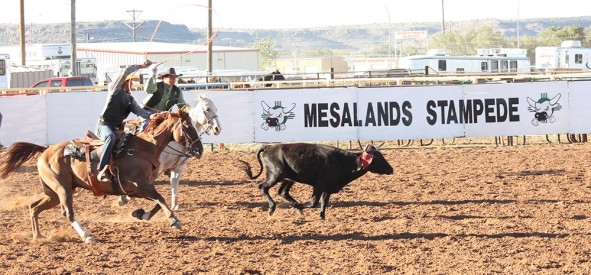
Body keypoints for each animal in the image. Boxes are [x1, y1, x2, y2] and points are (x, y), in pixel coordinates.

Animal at [0, 108, 201, 244]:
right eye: (187, 126)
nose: (199, 150)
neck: (143, 148)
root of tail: (45, 151)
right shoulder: (140, 185)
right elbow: (161, 199)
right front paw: (174, 221)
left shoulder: (139, 189)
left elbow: (159, 202)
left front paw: (140, 214)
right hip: (62, 189)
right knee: (68, 212)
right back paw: (87, 236)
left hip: (54, 193)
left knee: (34, 207)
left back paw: (38, 236)